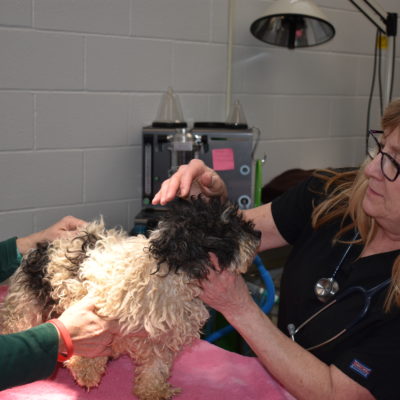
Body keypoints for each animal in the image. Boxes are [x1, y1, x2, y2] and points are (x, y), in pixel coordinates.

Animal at [0, 196, 261, 400]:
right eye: (226, 229)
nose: (258, 234)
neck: (169, 272)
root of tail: (40, 247)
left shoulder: (160, 338)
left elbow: (155, 368)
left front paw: (153, 392)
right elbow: (89, 349)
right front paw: (86, 371)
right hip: (27, 302)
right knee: (13, 323)